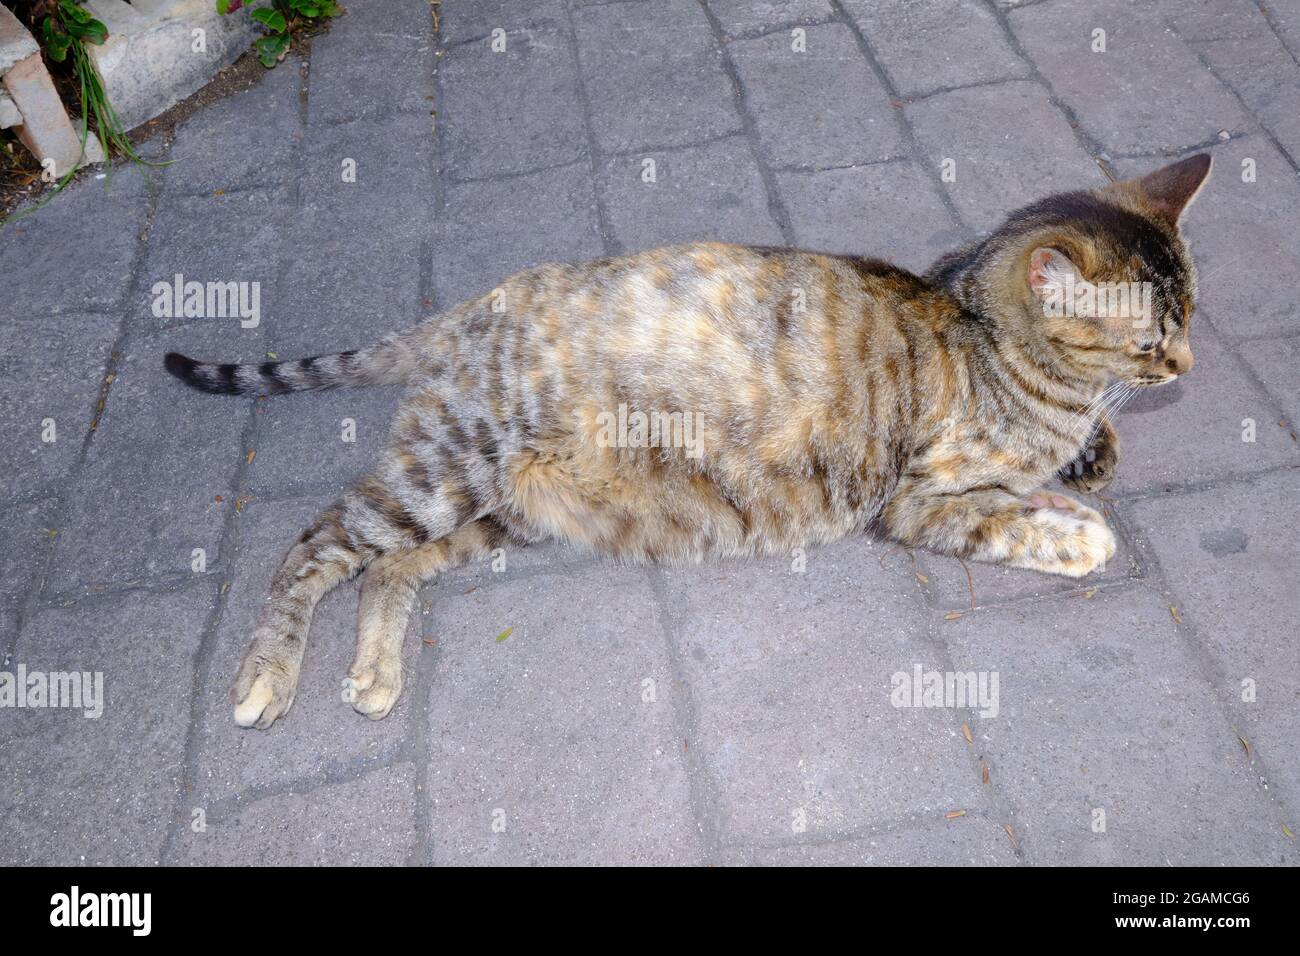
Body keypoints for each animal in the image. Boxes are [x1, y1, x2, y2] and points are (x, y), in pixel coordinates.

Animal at [167, 155, 1211, 723]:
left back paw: (376, 671)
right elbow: (1011, 516)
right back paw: (266, 676)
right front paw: (1076, 524)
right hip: (445, 468)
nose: (1189, 365)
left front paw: (1092, 452)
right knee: (315, 547)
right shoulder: (917, 500)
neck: (986, 332)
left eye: (1194, 310)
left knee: (387, 570)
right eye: (1151, 336)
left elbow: (1083, 446)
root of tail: (482, 300)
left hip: (507, 512)